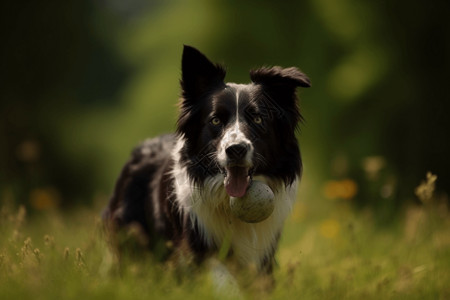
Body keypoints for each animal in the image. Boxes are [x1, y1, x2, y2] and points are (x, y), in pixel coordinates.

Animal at [104, 46, 310, 274]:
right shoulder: (196, 247)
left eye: (258, 119)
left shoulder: (262, 256)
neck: (227, 203)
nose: (235, 149)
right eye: (216, 120)